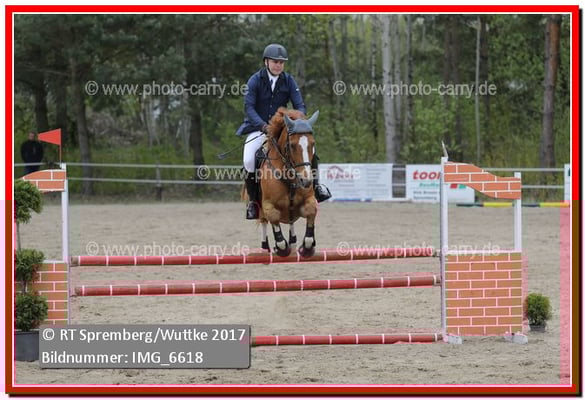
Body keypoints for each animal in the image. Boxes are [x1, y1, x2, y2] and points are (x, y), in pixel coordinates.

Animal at [255, 107, 320, 258]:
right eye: (292, 145)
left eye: (313, 144)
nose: (306, 181)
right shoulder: (267, 204)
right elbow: (273, 216)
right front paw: (281, 248)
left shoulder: (308, 200)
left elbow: (312, 210)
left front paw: (307, 247)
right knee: (263, 221)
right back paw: (265, 248)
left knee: (291, 223)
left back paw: (293, 242)